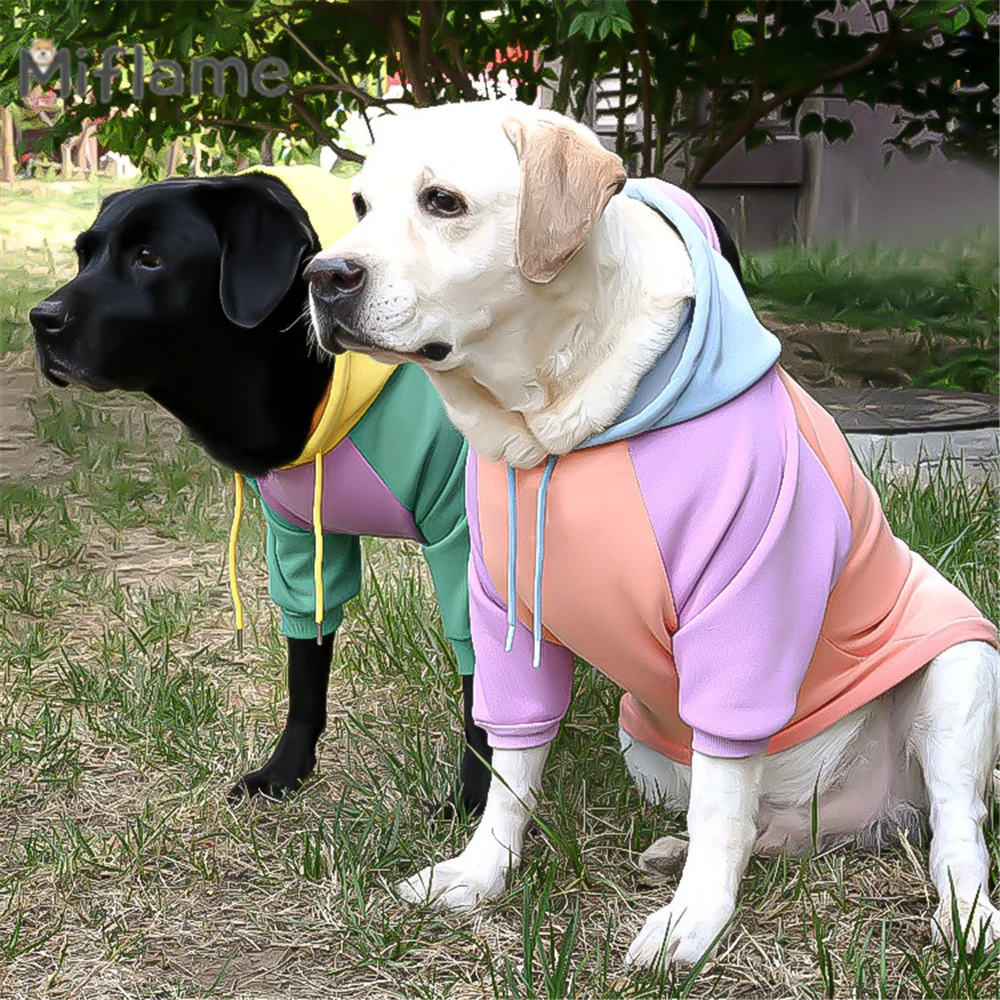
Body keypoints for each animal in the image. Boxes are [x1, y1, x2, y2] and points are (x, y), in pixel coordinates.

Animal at [30, 170, 496, 812]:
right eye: (83, 255)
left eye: (149, 258)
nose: (40, 318)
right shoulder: (299, 543)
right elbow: (306, 677)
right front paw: (285, 772)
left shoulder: (464, 543)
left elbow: (480, 686)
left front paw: (477, 798)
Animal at [306, 101, 1000, 968]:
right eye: (359, 204)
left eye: (443, 202)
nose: (322, 276)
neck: (557, 427)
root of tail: (865, 814)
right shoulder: (506, 612)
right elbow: (511, 770)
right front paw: (480, 872)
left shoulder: (743, 613)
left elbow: (721, 802)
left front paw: (694, 920)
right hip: (648, 745)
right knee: (766, 827)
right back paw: (691, 850)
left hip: (960, 675)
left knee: (954, 829)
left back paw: (964, 913)